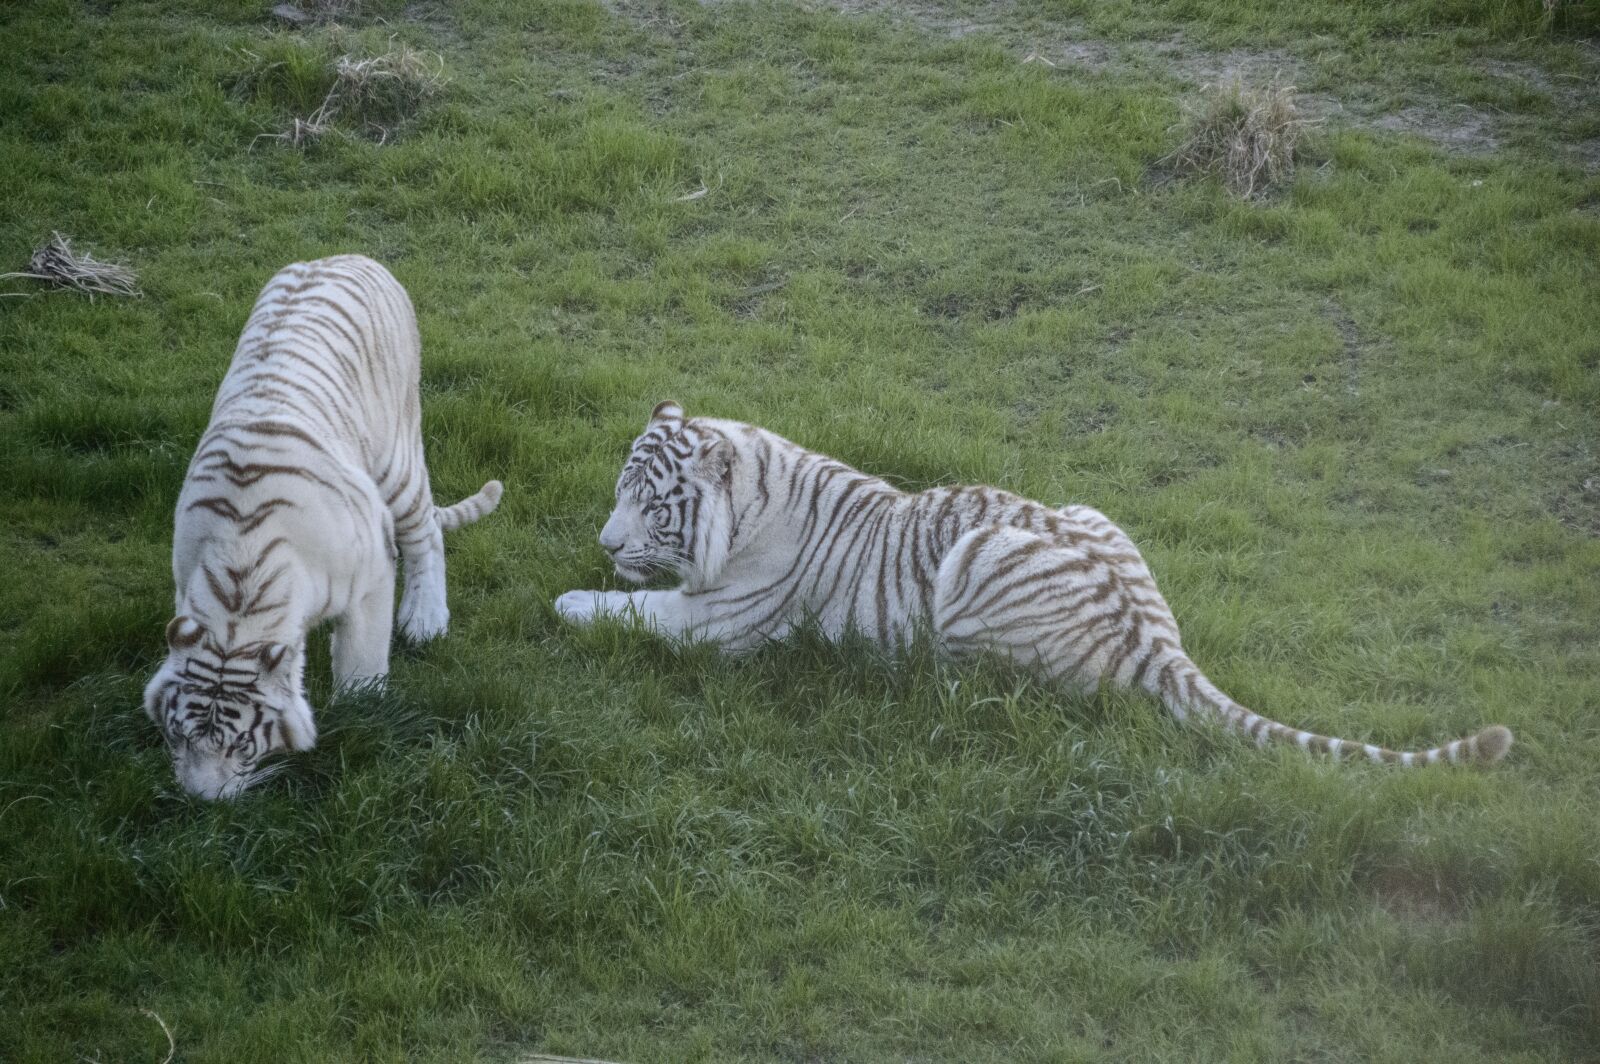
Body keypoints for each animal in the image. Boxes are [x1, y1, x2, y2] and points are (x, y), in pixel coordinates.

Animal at [143, 255, 503, 799]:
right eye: (179, 736)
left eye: (239, 745)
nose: (201, 801)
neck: (239, 588)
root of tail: (345, 256)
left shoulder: (372, 573)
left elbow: (362, 657)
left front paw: (362, 713)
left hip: (396, 463)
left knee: (426, 533)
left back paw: (425, 619)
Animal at [555, 402, 1513, 767]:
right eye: (617, 490)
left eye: (653, 505)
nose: (605, 539)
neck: (751, 495)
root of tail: (1157, 639)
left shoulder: (716, 623)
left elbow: (627, 611)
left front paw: (568, 600)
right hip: (1088, 508)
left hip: (975, 567)